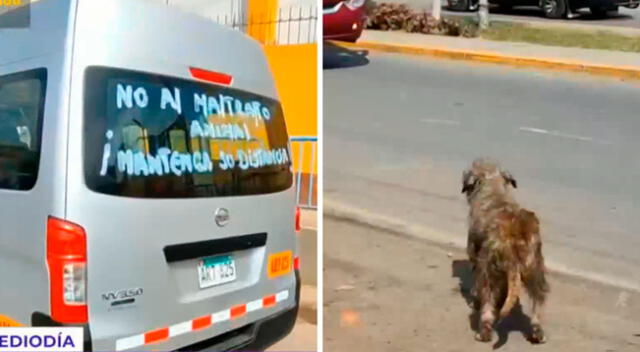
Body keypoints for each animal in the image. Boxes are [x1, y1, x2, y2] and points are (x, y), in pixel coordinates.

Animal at [460, 157, 552, 344]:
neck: (494, 190)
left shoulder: (475, 252)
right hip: (535, 270)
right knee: (537, 302)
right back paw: (538, 331)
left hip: (489, 270)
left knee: (488, 301)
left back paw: (484, 331)